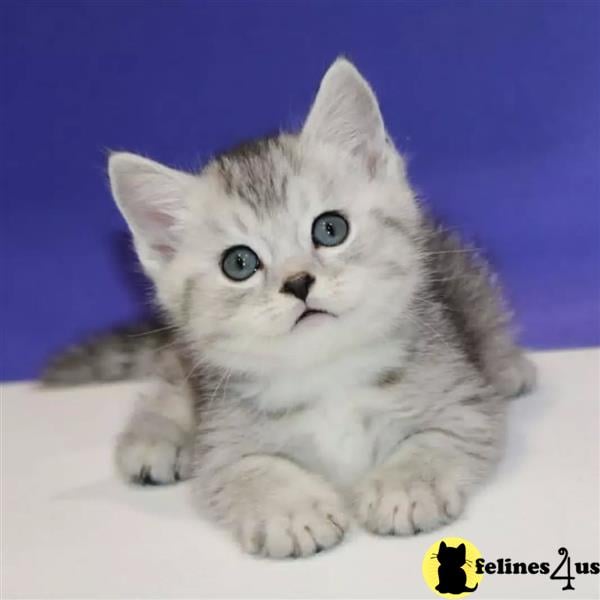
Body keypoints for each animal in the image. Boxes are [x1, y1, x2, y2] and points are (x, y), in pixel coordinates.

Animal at [44, 57, 536, 556]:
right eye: (239, 263)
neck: (328, 374)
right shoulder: (223, 442)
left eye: (331, 229)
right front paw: (291, 510)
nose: (298, 282)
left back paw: (510, 367)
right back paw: (154, 438)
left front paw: (404, 486)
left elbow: (438, 438)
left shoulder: (465, 401)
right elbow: (249, 469)